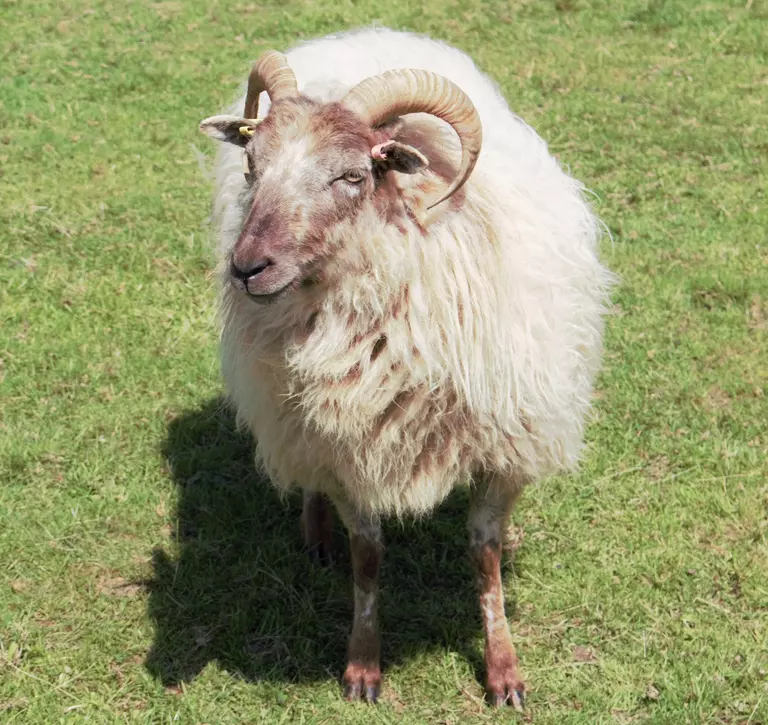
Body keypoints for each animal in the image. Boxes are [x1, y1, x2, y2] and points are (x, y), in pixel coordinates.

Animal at [196, 26, 612, 708]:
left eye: (352, 174)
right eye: (254, 166)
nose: (247, 267)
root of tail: (356, 36)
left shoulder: (504, 440)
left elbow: (483, 555)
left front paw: (503, 668)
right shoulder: (347, 443)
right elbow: (367, 557)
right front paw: (363, 666)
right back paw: (316, 531)